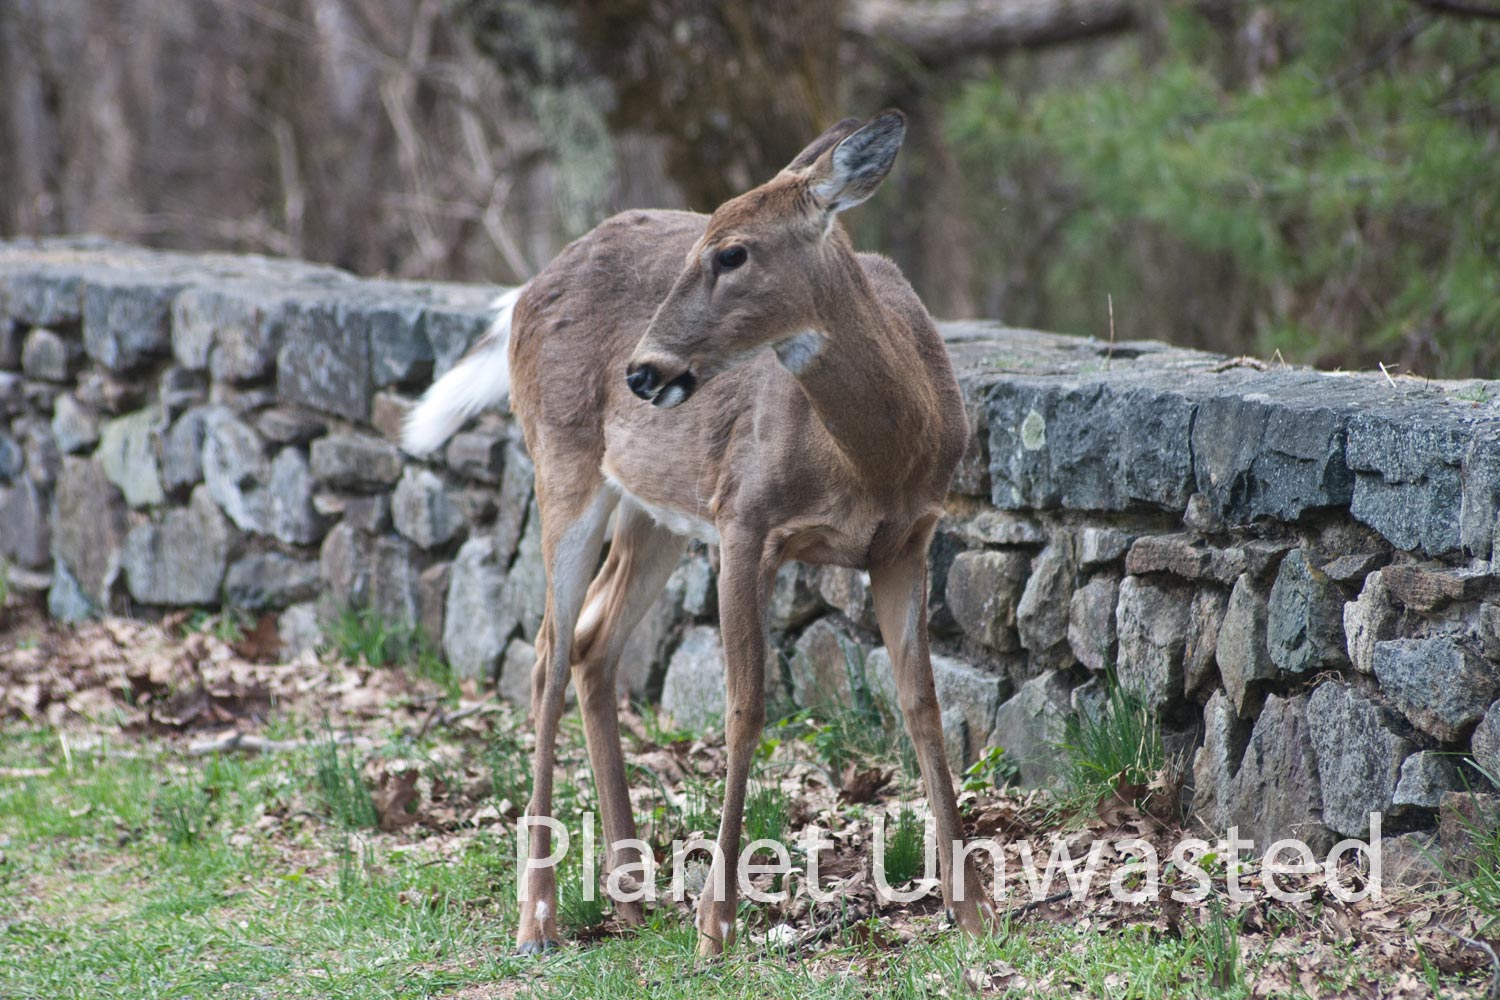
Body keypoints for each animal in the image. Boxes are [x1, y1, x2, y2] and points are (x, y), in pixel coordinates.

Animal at [404, 110, 993, 957]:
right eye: (699, 245)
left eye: (731, 252)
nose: (643, 371)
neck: (873, 459)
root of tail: (522, 294)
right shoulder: (745, 519)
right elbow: (744, 707)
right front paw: (717, 922)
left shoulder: (906, 541)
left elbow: (923, 705)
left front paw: (971, 906)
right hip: (565, 461)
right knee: (547, 650)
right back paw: (539, 915)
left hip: (654, 510)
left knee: (592, 644)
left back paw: (628, 894)